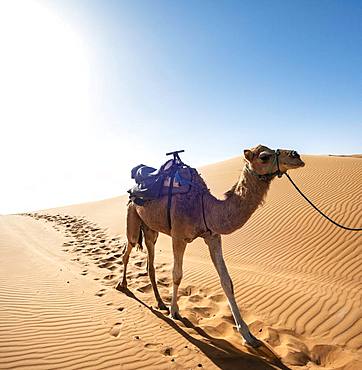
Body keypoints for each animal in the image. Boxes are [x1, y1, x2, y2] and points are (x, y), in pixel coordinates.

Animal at [117, 145, 304, 346]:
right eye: (264, 156)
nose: (296, 155)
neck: (203, 206)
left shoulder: (213, 236)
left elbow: (226, 281)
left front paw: (247, 335)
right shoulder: (178, 236)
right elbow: (177, 275)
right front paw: (175, 311)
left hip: (151, 229)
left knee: (150, 262)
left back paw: (160, 302)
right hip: (132, 216)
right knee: (128, 249)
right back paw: (122, 285)